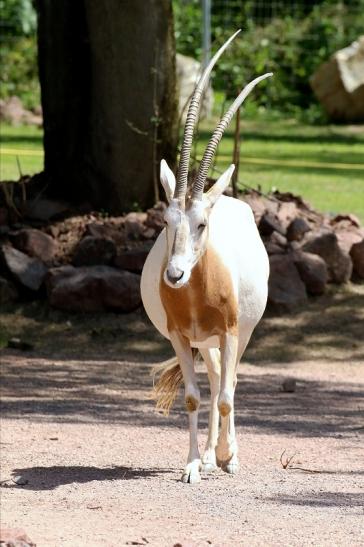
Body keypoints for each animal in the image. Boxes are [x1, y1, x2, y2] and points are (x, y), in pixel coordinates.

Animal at [141, 30, 272, 484]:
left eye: (201, 223)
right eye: (166, 220)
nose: (175, 275)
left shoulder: (231, 332)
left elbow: (229, 395)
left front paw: (229, 459)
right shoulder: (181, 336)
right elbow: (195, 397)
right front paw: (193, 466)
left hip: (239, 335)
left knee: (228, 384)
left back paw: (227, 454)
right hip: (207, 342)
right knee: (215, 381)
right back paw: (213, 454)